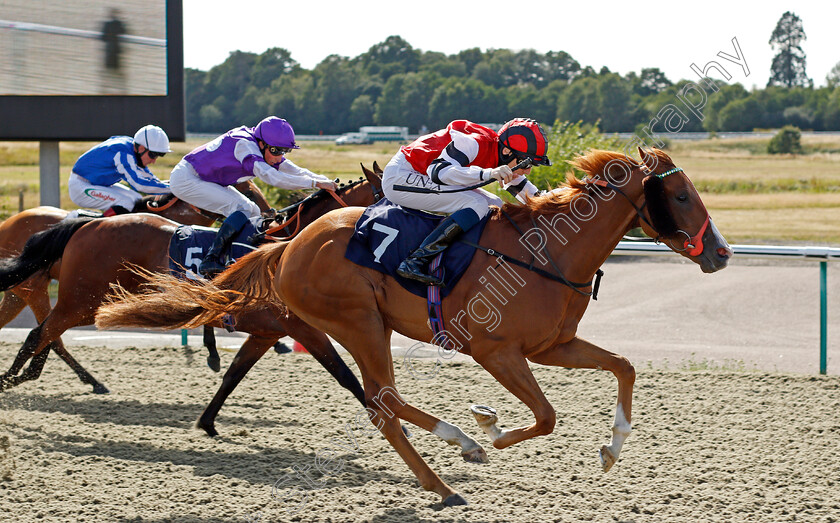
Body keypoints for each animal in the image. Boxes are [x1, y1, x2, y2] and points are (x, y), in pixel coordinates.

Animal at [95, 148, 732, 508]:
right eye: (679, 194)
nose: (721, 254)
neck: (547, 250)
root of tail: (289, 244)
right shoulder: (496, 351)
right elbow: (546, 416)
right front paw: (490, 428)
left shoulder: (553, 345)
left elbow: (623, 366)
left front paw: (610, 448)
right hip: (359, 322)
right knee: (382, 399)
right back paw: (454, 461)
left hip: (356, 327)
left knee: (382, 402)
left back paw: (449, 463)